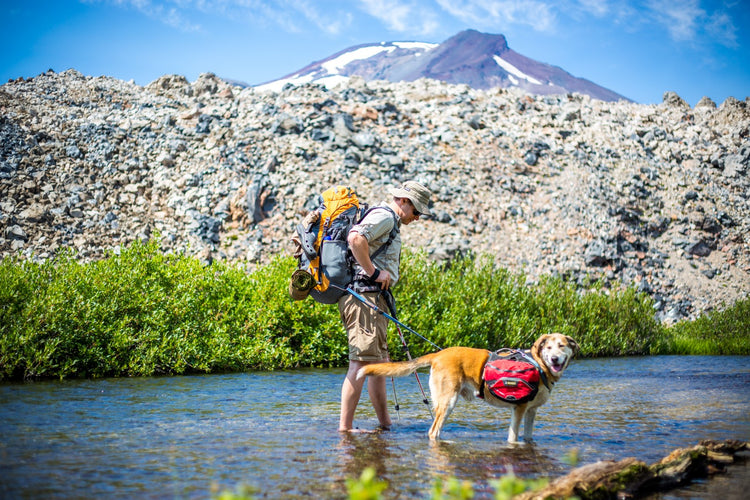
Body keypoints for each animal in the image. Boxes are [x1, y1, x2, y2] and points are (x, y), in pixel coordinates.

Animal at [358, 332, 580, 442]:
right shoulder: (518, 409)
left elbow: (527, 436)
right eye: (548, 347)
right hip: (448, 402)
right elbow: (513, 438)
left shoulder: (531, 411)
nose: (554, 359)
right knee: (433, 432)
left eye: (562, 346)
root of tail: (438, 354)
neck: (539, 365)